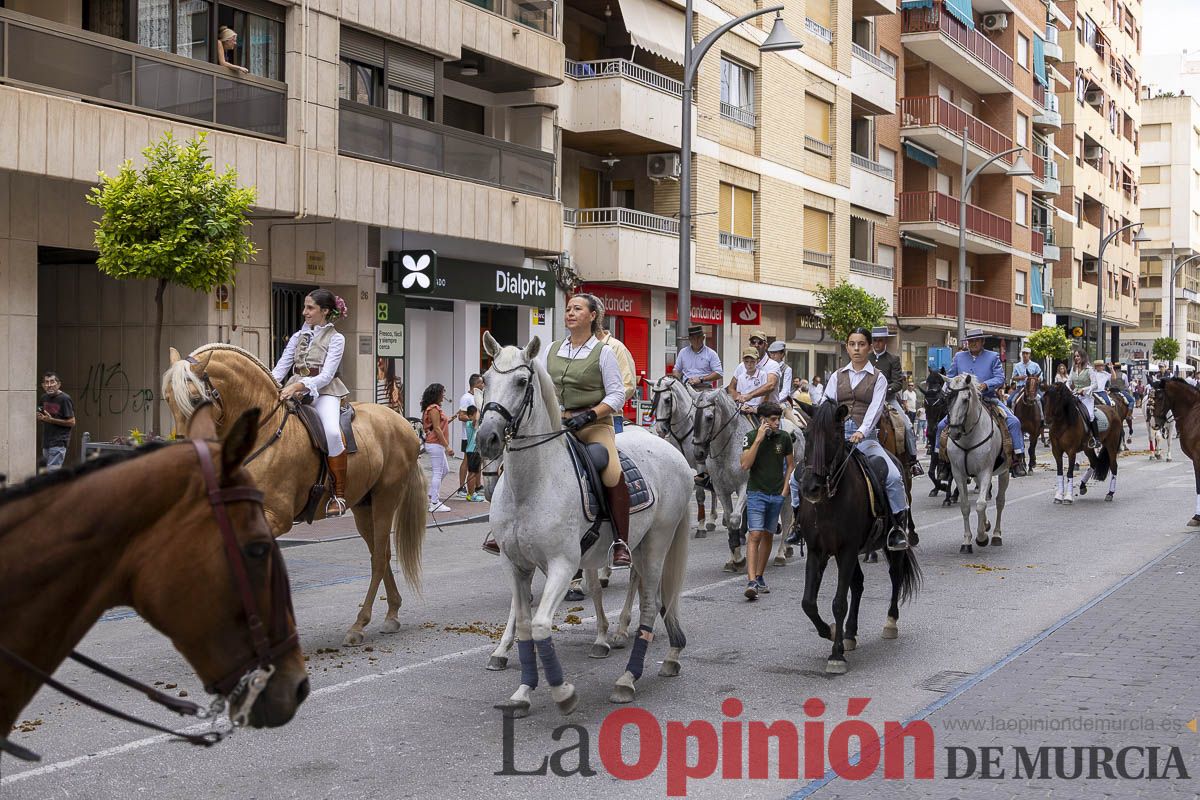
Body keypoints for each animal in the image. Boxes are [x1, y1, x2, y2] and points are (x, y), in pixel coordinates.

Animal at [162, 344, 426, 648]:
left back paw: (359, 625)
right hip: (363, 505)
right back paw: (392, 613)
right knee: (379, 553)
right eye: (167, 398)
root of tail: (403, 423)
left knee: (379, 559)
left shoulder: (275, 519)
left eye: (195, 399)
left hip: (386, 499)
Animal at [475, 334, 692, 714]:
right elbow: (525, 624)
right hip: (636, 544)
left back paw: (627, 677)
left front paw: (562, 691)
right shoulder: (515, 564)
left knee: (650, 604)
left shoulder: (563, 564)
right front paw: (522, 689)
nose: (487, 438)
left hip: (656, 543)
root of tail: (671, 451)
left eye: (521, 382)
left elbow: (542, 625)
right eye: (485, 379)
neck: (531, 485)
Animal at [796, 401, 922, 674]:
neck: (829, 501)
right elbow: (808, 602)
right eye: (807, 435)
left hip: (886, 546)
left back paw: (890, 622)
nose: (810, 487)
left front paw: (836, 656)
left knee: (895, 576)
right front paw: (833, 632)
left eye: (834, 437)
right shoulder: (818, 551)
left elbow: (838, 602)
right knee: (858, 584)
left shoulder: (847, 549)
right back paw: (850, 633)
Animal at [944, 374, 1009, 553]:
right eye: (947, 397)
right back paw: (986, 525)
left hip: (1004, 472)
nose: (954, 431)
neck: (968, 437)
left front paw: (981, 538)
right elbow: (966, 506)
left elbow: (980, 505)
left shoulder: (985, 471)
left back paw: (996, 535)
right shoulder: (958, 473)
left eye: (965, 399)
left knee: (1000, 502)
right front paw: (967, 541)